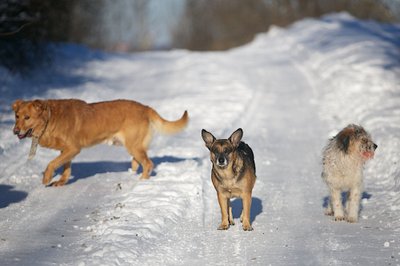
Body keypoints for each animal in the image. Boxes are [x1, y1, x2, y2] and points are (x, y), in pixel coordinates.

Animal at [11, 98, 188, 186]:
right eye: (17, 116)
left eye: (27, 117)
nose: (15, 131)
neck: (50, 117)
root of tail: (145, 107)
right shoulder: (67, 151)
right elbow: (65, 167)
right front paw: (62, 181)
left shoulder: (73, 148)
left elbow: (52, 163)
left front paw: (47, 178)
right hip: (134, 146)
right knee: (138, 161)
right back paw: (133, 173)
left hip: (133, 145)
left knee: (148, 163)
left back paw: (142, 181)